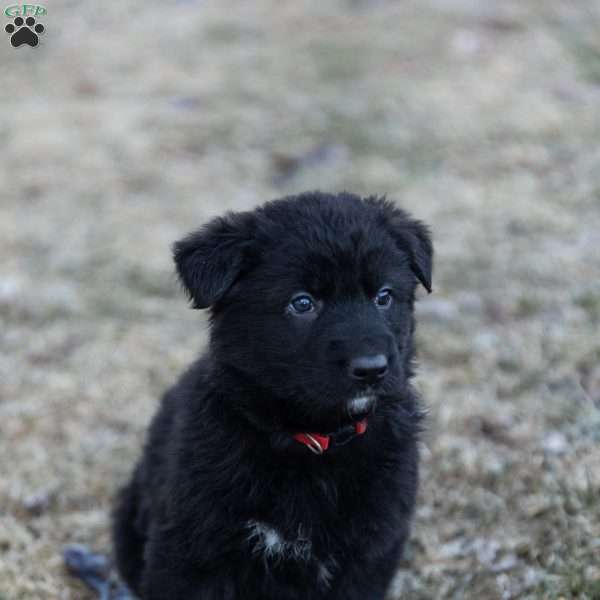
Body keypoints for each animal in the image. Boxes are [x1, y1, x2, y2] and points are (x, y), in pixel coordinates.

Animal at [111, 192, 432, 600]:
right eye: (302, 303)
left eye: (384, 296)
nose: (372, 368)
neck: (313, 445)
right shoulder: (189, 552)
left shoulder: (368, 554)